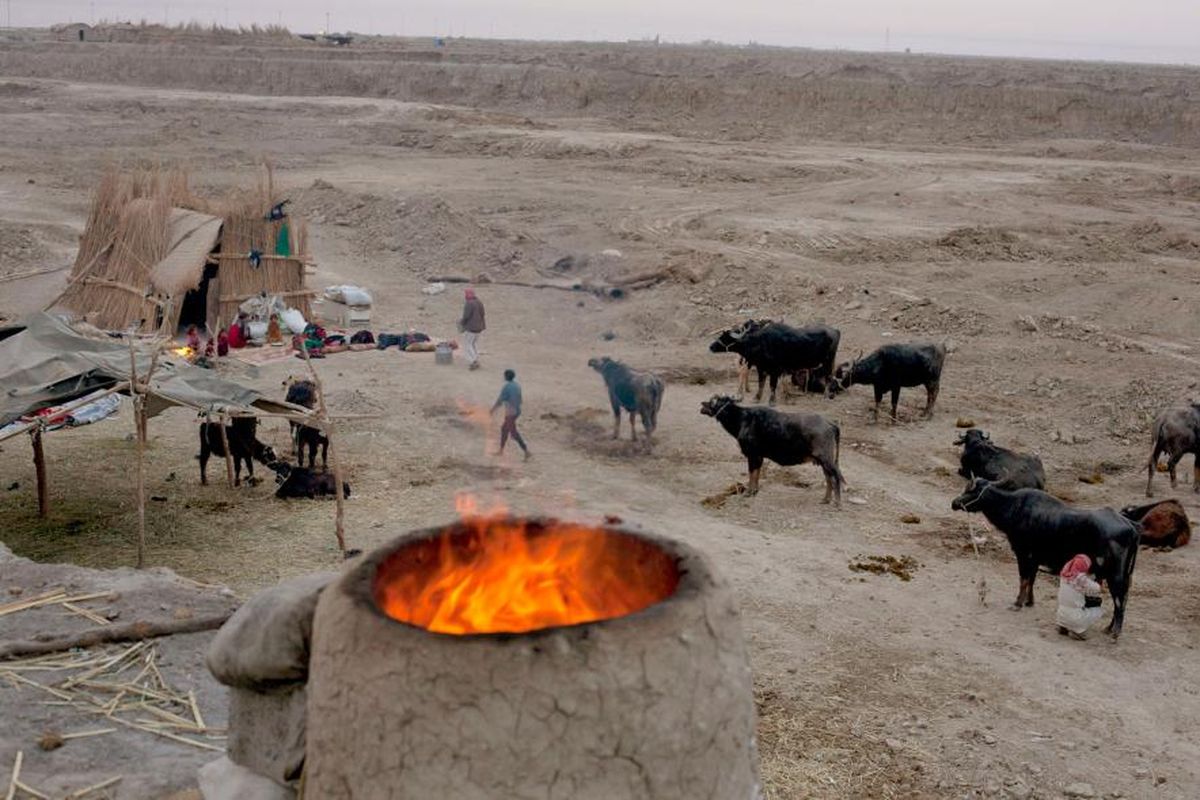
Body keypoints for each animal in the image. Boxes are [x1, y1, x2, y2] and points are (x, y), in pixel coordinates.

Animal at [705, 321, 840, 407]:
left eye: (725, 338)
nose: (711, 347)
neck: (759, 343)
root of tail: (835, 331)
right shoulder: (761, 368)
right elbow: (761, 384)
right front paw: (756, 398)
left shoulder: (775, 370)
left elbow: (772, 385)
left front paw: (772, 401)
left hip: (828, 361)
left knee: (828, 377)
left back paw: (825, 396)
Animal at [950, 479, 1137, 642]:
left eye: (972, 490)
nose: (954, 503)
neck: (1014, 508)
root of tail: (1131, 527)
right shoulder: (1034, 559)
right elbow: (1031, 580)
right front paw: (1029, 602)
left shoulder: (1023, 555)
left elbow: (1024, 579)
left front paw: (1017, 603)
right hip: (1124, 576)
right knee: (1124, 599)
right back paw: (1108, 628)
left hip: (1115, 575)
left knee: (1119, 600)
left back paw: (1115, 633)